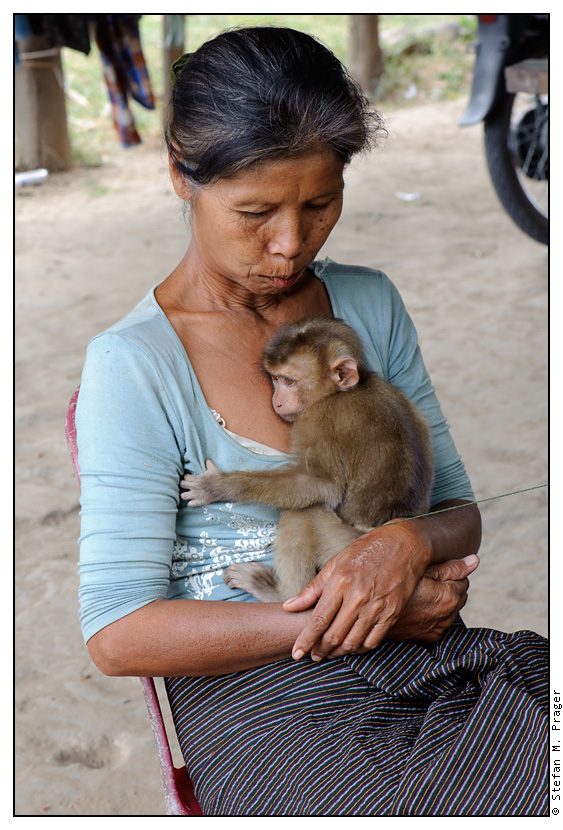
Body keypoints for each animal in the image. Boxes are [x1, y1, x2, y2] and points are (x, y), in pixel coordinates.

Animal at [180, 316, 434, 602]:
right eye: (275, 378)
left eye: (288, 381)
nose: (277, 401)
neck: (341, 392)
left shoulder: (318, 420)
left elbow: (320, 485)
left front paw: (219, 486)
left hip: (342, 546)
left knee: (301, 515)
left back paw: (279, 594)